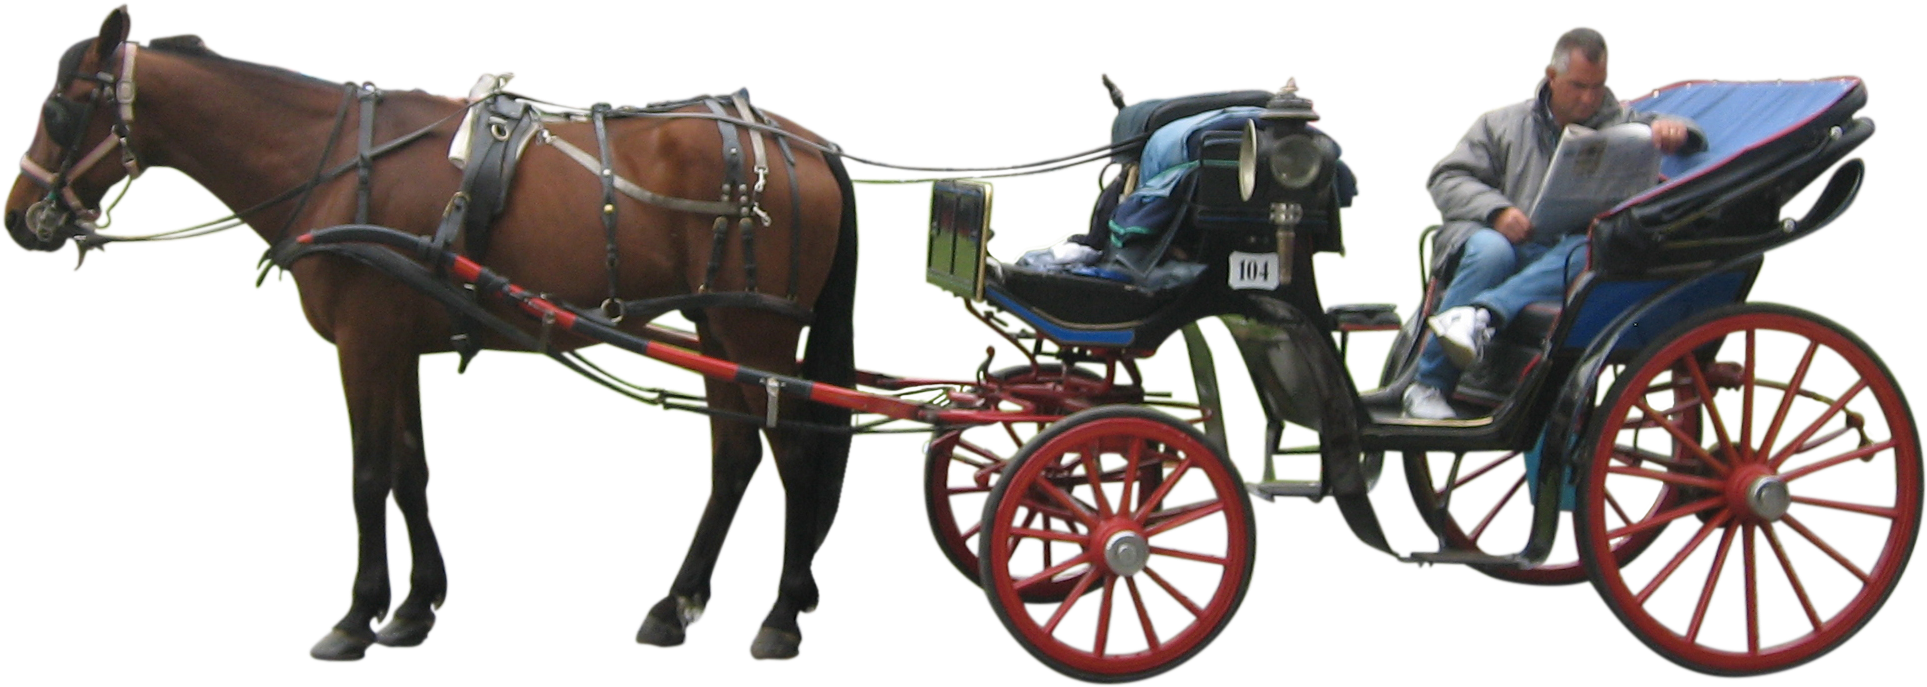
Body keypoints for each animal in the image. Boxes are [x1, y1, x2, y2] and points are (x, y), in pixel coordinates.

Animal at [5, 4, 859, 664]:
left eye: (57, 111)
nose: (18, 216)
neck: (337, 164)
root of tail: (804, 142)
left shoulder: (364, 340)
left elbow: (369, 476)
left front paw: (355, 618)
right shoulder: (394, 340)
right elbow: (411, 470)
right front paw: (415, 606)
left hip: (755, 330)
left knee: (794, 451)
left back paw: (780, 614)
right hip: (717, 323)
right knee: (737, 453)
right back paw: (675, 603)